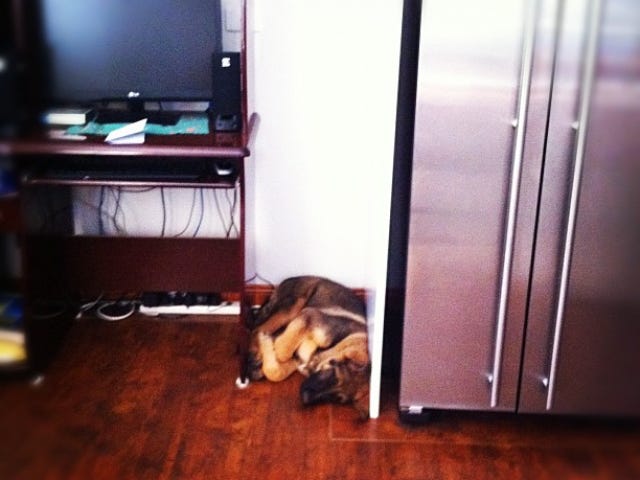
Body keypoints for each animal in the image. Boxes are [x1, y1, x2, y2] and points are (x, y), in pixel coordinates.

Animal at [245, 276, 370, 418]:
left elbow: (276, 372)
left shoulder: (297, 359)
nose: (305, 397)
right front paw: (266, 344)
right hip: (294, 306)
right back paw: (254, 354)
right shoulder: (310, 315)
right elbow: (282, 351)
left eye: (337, 399)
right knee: (257, 329)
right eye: (333, 375)